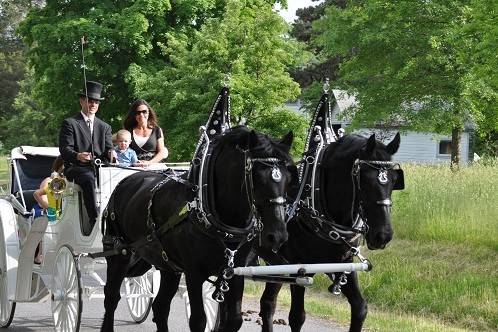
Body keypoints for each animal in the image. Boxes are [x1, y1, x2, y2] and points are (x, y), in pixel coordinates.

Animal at [102, 125, 296, 332]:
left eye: (288, 177)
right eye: (256, 176)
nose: (277, 235)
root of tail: (125, 182)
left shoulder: (234, 272)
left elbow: (234, 320)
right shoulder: (194, 273)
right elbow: (198, 320)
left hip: (168, 266)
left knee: (160, 306)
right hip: (120, 255)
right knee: (111, 296)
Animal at [258, 133, 402, 332]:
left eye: (395, 180)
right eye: (365, 179)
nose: (383, 235)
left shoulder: (343, 264)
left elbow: (360, 308)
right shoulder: (298, 269)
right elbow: (297, 316)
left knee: (268, 303)